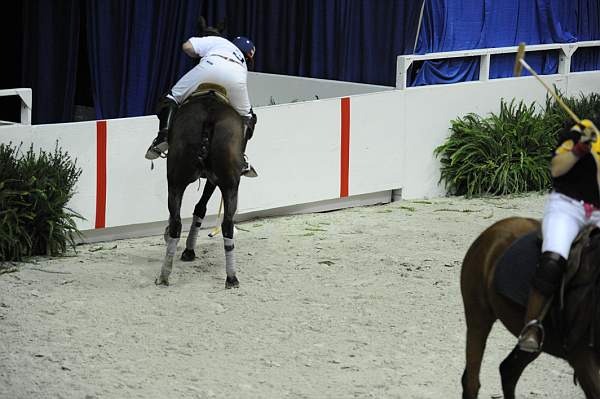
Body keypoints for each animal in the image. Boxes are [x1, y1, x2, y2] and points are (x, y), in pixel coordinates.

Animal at [157, 88, 246, 288]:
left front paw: (188, 249)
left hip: (177, 181)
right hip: (229, 184)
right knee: (227, 224)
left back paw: (165, 274)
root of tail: (209, 117)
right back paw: (231, 277)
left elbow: (199, 208)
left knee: (177, 222)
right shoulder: (214, 179)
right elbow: (201, 207)